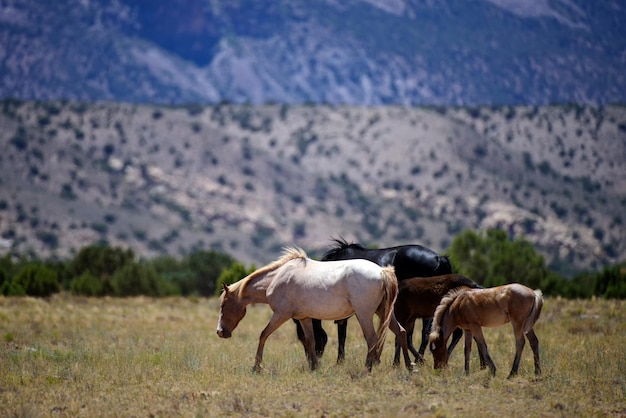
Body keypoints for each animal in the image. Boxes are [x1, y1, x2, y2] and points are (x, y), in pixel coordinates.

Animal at [217, 247, 412, 370]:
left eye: (223, 304)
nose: (220, 331)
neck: (276, 278)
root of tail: (382, 272)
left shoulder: (281, 314)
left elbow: (263, 334)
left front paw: (256, 366)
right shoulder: (303, 318)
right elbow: (310, 341)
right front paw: (314, 366)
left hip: (364, 315)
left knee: (372, 339)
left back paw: (368, 369)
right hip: (384, 312)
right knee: (401, 332)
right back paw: (410, 367)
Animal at [292, 237, 458, 364]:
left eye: (302, 336)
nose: (311, 358)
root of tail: (440, 258)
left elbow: (342, 335)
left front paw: (340, 361)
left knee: (425, 333)